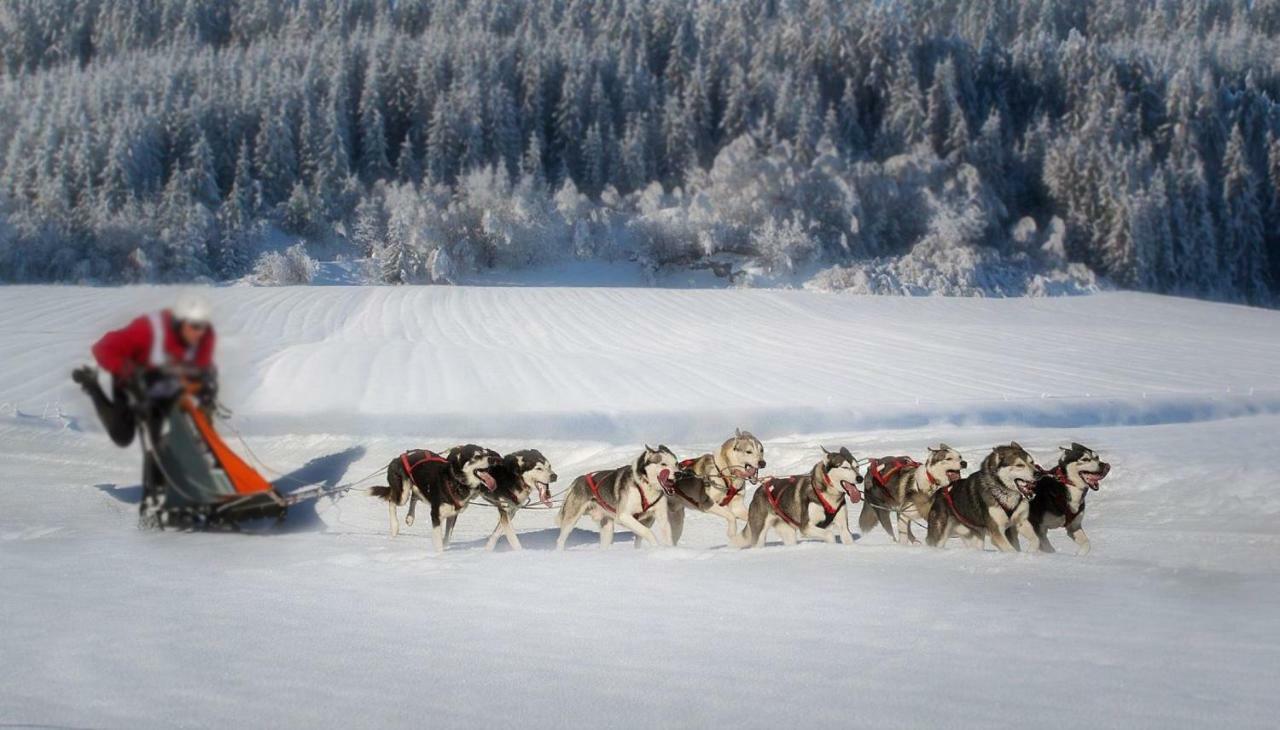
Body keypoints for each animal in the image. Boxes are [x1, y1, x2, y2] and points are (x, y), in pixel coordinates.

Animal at [368, 443, 496, 550]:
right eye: (477, 456)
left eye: (487, 453)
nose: (492, 459)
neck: (454, 480)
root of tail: (399, 457)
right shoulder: (435, 515)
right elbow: (438, 540)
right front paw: (439, 556)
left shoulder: (452, 515)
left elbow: (447, 537)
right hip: (403, 494)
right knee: (392, 500)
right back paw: (395, 527)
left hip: (421, 492)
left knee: (414, 496)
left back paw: (410, 517)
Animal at [558, 440, 686, 548]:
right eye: (663, 464)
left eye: (676, 464)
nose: (679, 474)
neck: (645, 485)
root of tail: (578, 479)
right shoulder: (624, 516)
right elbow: (647, 532)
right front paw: (655, 546)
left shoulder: (660, 517)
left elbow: (664, 535)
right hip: (571, 519)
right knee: (561, 539)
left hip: (607, 529)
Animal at [737, 443, 865, 545]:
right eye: (845, 467)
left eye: (857, 466)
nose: (860, 478)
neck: (828, 496)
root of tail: (760, 488)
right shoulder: (806, 527)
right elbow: (829, 534)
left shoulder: (844, 528)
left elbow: (847, 538)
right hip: (759, 534)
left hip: (788, 533)